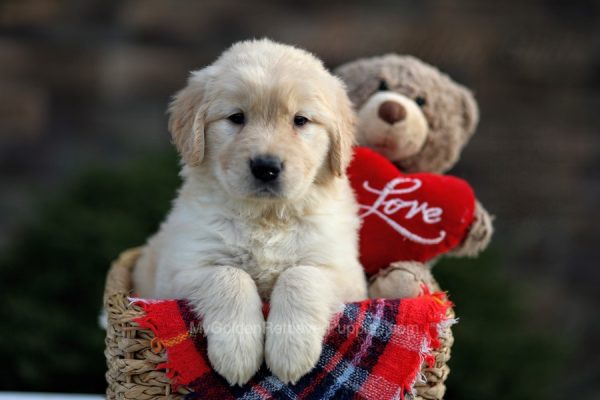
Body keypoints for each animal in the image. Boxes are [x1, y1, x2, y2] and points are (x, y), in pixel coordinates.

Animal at [132, 39, 366, 386]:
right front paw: (237, 353)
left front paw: (290, 351)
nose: (266, 167)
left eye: (300, 120)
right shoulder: (179, 271)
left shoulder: (345, 273)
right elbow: (229, 276)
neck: (265, 217)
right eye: (236, 117)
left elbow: (300, 275)